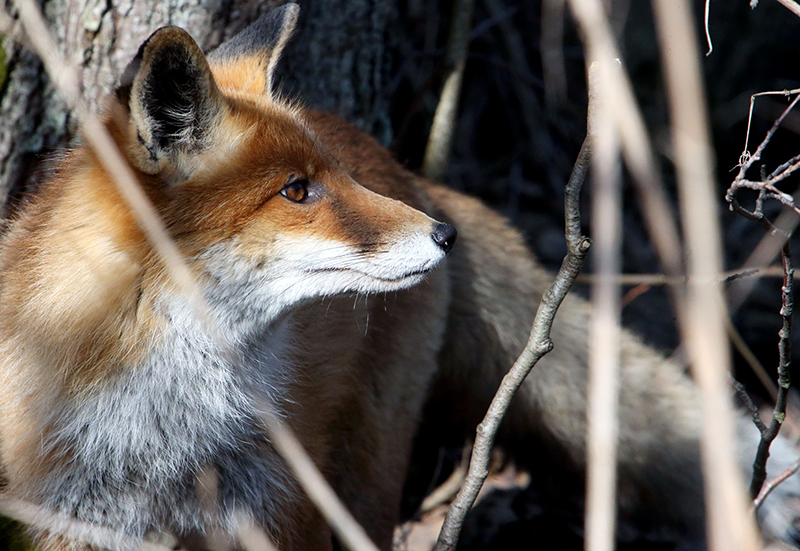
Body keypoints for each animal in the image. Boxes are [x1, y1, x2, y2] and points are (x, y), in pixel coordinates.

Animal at [1, 4, 800, 551]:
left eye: (331, 178)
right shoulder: (66, 518)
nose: (442, 235)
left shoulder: (280, 501)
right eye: (297, 190)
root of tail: (414, 172)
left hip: (364, 469)